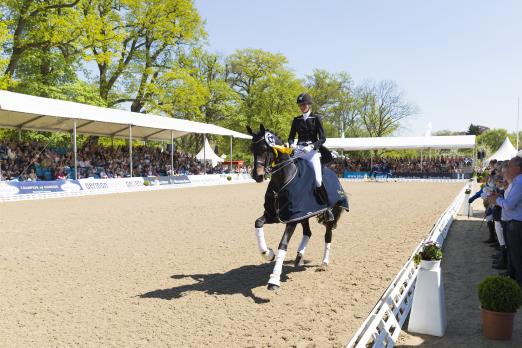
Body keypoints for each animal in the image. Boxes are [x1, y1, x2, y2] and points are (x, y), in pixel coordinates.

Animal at [246, 123, 348, 290]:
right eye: (252, 149)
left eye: (265, 148)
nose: (257, 176)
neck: (282, 180)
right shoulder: (275, 215)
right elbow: (258, 223)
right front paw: (268, 253)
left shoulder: (292, 220)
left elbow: (283, 244)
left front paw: (274, 279)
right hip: (304, 215)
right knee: (308, 232)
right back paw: (299, 257)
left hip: (326, 216)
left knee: (327, 237)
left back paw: (323, 264)